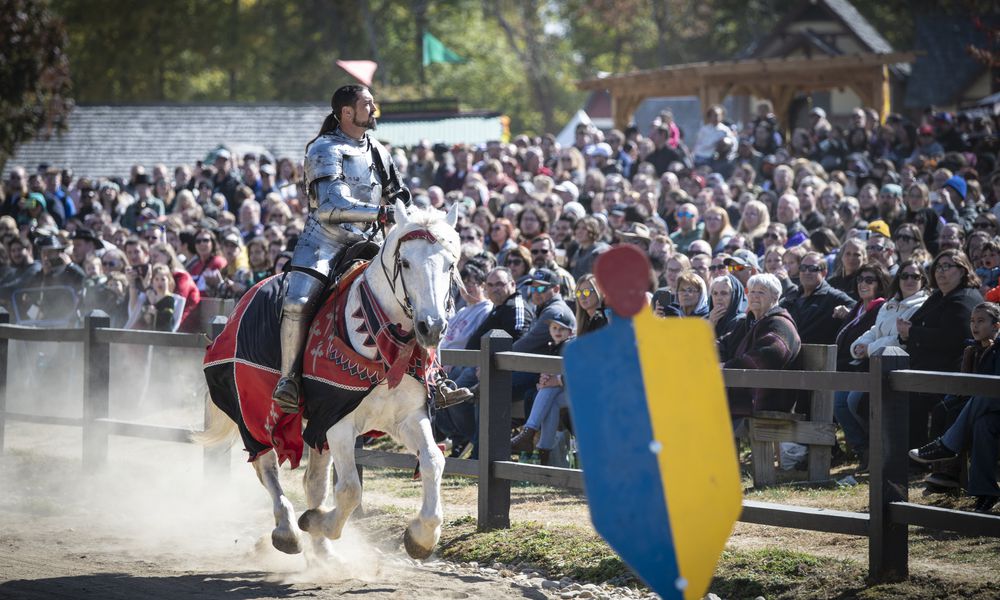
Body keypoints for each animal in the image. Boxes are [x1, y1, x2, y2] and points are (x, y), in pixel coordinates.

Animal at [198, 199, 460, 560]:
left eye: (450, 264)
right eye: (405, 263)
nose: (431, 327)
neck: (384, 343)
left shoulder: (407, 418)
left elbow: (434, 460)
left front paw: (422, 536)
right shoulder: (338, 422)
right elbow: (349, 489)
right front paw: (316, 522)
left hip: (314, 428)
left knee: (312, 482)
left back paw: (324, 556)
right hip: (254, 411)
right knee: (267, 466)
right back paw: (288, 530)